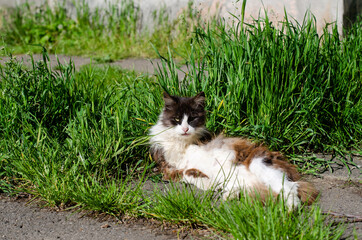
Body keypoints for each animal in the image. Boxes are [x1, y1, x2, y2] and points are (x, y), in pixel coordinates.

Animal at [148, 91, 318, 208]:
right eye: (177, 119)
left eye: (192, 119)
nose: (185, 129)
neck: (182, 143)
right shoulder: (167, 168)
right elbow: (186, 173)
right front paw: (207, 182)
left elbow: (192, 166)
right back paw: (228, 194)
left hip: (260, 163)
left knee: (291, 189)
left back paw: (289, 210)